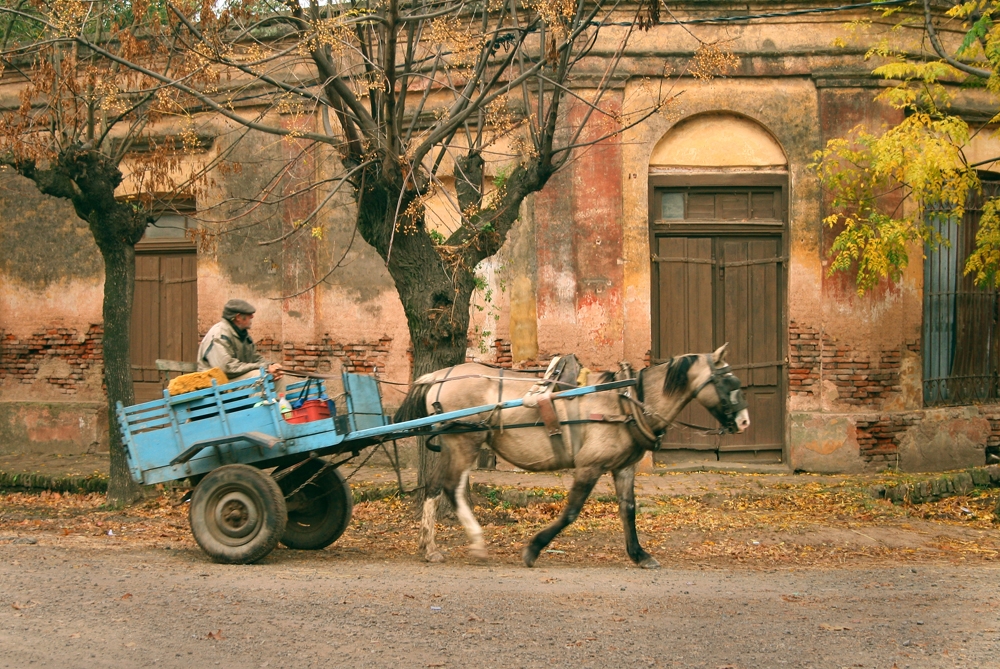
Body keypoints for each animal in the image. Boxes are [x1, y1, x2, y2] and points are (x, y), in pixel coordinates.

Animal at [392, 344, 752, 568]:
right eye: (727, 381)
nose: (745, 421)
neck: (627, 401)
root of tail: (439, 376)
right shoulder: (589, 466)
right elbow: (571, 512)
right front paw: (533, 549)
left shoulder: (624, 468)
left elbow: (628, 511)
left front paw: (639, 555)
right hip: (465, 442)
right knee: (451, 488)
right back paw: (477, 544)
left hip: (455, 444)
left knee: (434, 488)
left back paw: (429, 548)